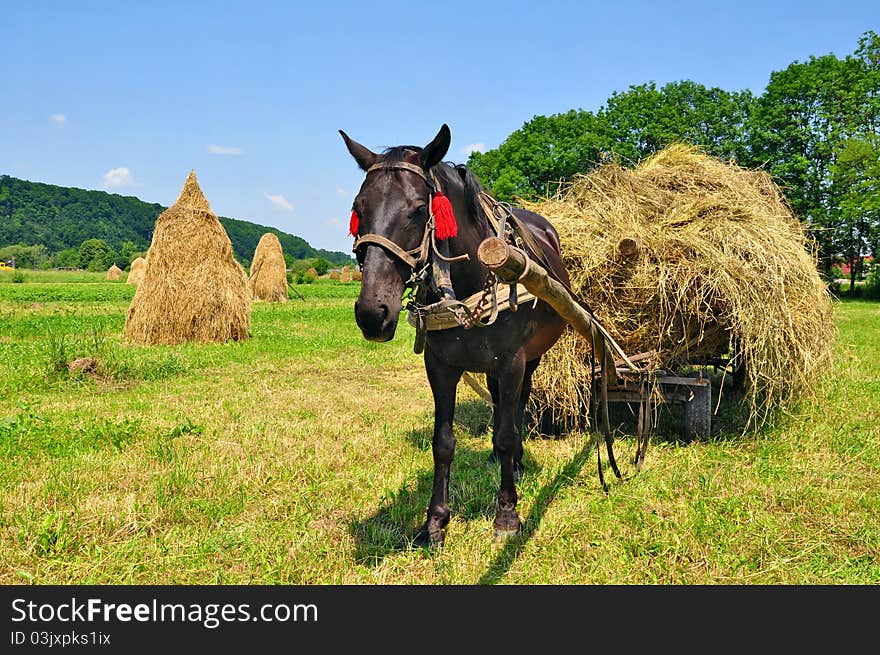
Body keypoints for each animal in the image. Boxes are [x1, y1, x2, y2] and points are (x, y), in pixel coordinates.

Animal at [336, 125, 572, 544]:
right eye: (358, 208)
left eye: (418, 209)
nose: (372, 314)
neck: (469, 285)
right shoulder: (440, 366)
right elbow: (443, 443)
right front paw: (434, 522)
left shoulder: (511, 362)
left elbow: (508, 433)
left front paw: (507, 514)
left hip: (531, 358)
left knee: (519, 405)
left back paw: (517, 462)